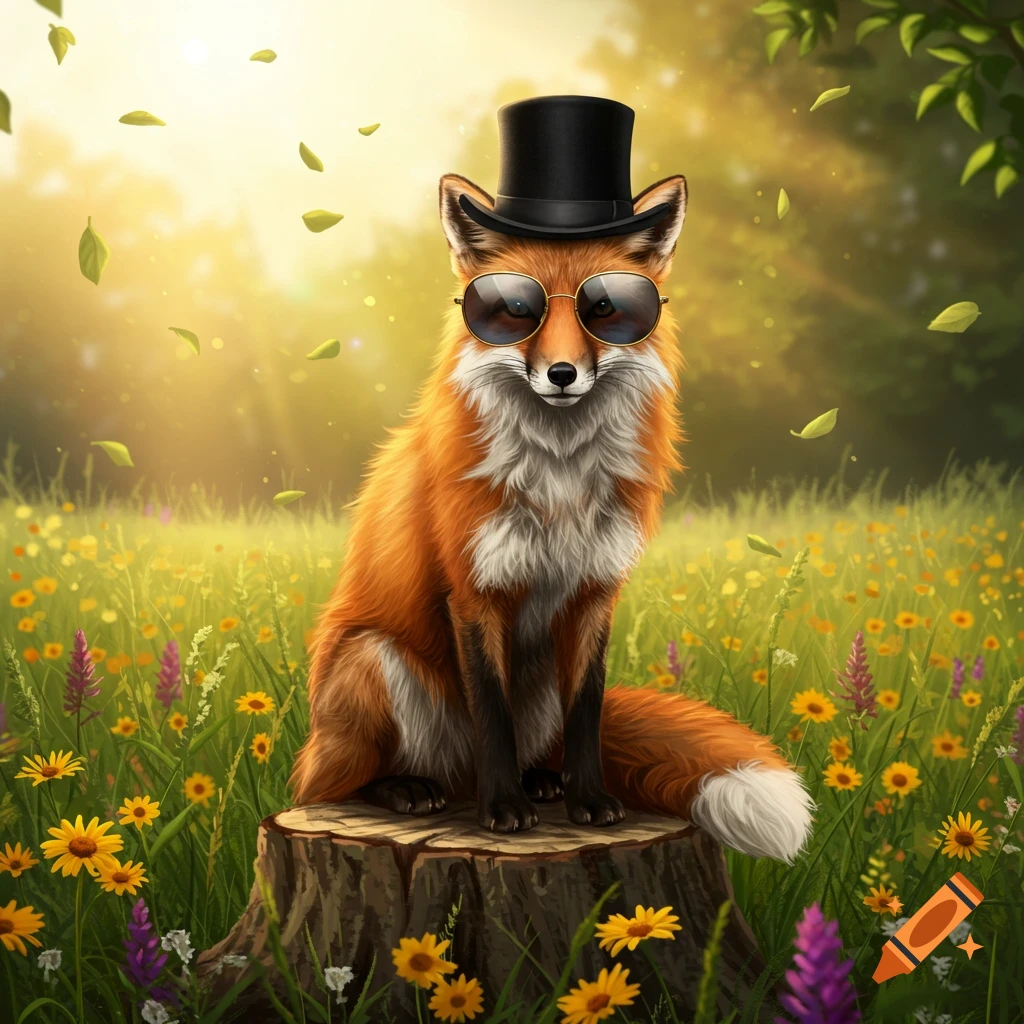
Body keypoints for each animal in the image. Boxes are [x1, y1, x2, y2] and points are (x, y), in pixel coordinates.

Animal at [288, 171, 814, 863]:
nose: (562, 373)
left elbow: (587, 711)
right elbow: (492, 713)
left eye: (606, 308)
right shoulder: (474, 593)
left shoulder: (595, 591)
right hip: (372, 660)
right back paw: (413, 789)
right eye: (515, 309)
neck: (559, 483)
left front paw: (588, 801)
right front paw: (503, 809)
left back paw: (542, 780)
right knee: (338, 784)